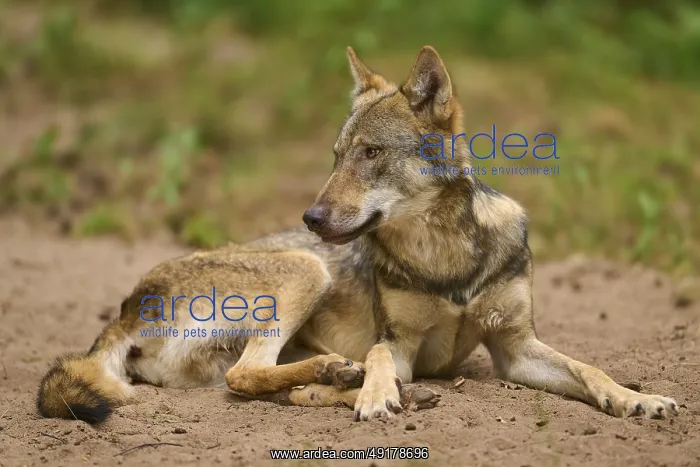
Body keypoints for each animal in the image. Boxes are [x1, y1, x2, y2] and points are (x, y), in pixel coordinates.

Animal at [37, 46, 679, 423]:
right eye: (337, 155)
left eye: (370, 154)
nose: (312, 219)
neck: (445, 258)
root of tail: (126, 306)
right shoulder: (399, 343)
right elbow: (377, 353)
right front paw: (374, 393)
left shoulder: (515, 349)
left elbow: (592, 370)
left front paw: (638, 398)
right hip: (306, 270)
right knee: (250, 376)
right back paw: (354, 380)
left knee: (274, 387)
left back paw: (362, 384)